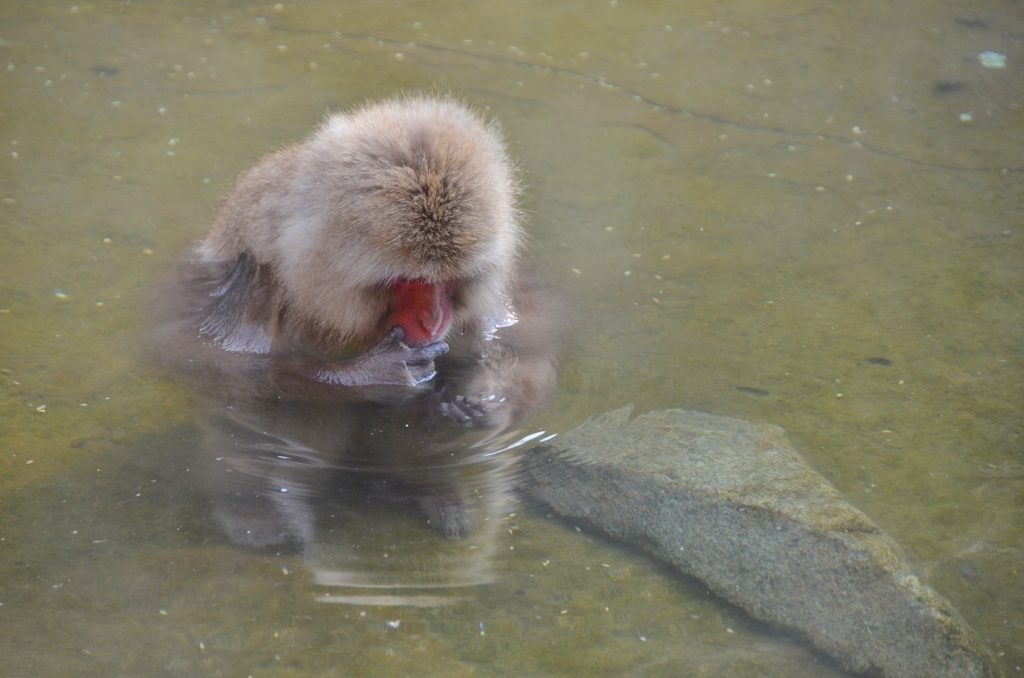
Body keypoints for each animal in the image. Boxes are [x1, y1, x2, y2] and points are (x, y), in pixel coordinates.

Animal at [151, 96, 559, 546]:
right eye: (411, 280)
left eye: (446, 279)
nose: (435, 318)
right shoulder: (246, 270)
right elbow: (194, 354)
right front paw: (376, 374)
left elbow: (527, 346)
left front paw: (486, 403)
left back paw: (432, 486)